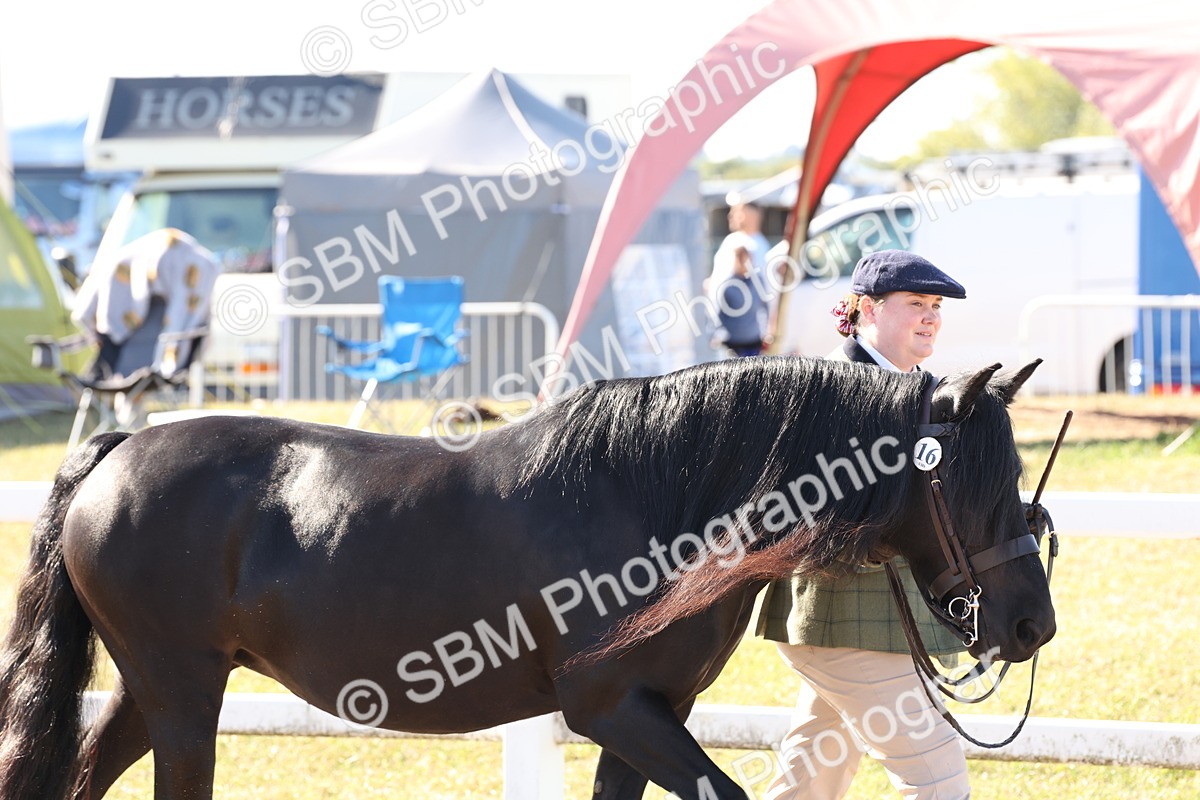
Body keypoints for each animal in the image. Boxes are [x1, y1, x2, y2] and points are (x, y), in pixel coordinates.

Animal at [0, 355, 1055, 799]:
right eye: (969, 485)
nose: (1030, 625)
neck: (656, 497)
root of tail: (122, 447)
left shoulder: (651, 716)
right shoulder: (610, 707)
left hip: (153, 688)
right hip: (181, 693)